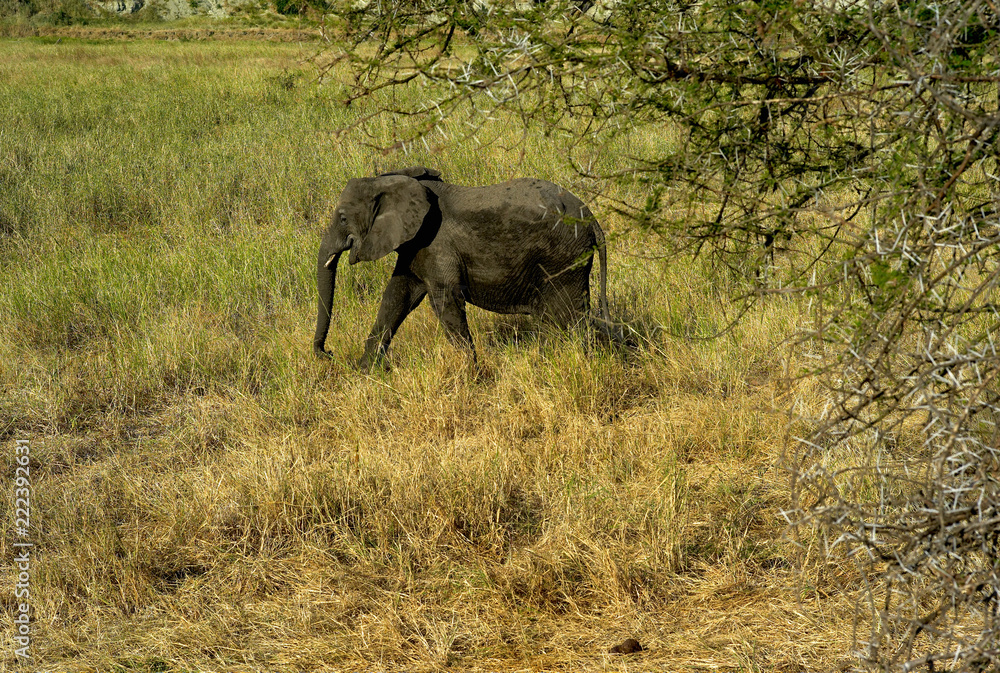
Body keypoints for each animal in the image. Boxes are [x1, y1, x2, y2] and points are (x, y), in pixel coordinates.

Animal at [313, 166, 614, 369]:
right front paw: (365, 372)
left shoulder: (436, 243)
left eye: (342, 218)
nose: (329, 353)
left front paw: (473, 375)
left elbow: (444, 300)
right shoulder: (415, 245)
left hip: (563, 259)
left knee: (570, 319)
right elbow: (396, 297)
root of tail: (591, 217)